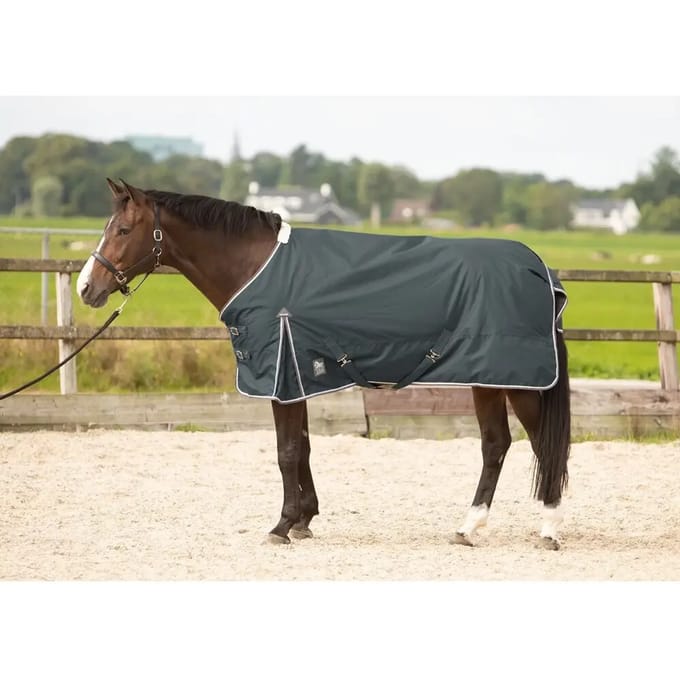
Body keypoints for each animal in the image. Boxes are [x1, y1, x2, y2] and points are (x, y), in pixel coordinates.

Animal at [77, 179, 571, 550]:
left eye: (123, 230)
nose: (86, 287)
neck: (257, 267)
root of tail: (539, 268)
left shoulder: (281, 376)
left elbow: (286, 451)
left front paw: (281, 526)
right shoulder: (296, 375)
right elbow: (305, 447)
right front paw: (304, 520)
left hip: (517, 381)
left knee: (540, 444)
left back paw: (548, 528)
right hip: (488, 378)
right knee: (496, 444)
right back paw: (468, 528)